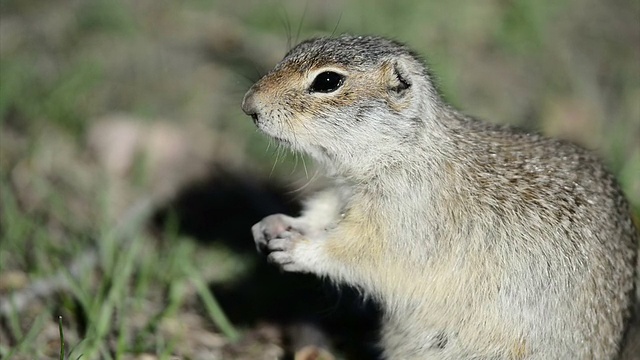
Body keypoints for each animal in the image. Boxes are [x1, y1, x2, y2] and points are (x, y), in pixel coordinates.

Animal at [241, 35, 640, 358]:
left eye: (328, 81)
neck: (405, 151)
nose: (249, 105)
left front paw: (299, 249)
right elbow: (321, 213)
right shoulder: (344, 194)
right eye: (294, 49)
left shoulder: (405, 219)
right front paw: (273, 224)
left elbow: (360, 252)